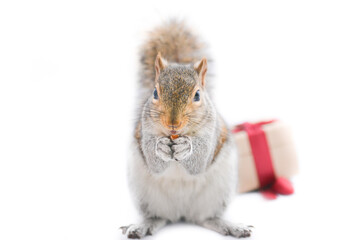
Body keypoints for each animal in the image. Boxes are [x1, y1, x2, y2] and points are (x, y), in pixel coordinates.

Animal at [119, 20, 252, 238]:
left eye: (197, 95)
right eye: (155, 93)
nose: (172, 123)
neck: (175, 135)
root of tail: (181, 212)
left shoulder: (212, 133)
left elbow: (200, 161)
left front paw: (186, 147)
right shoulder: (144, 130)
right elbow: (153, 162)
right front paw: (160, 147)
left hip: (218, 193)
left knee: (207, 218)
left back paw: (231, 226)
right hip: (145, 195)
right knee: (158, 217)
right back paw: (142, 226)